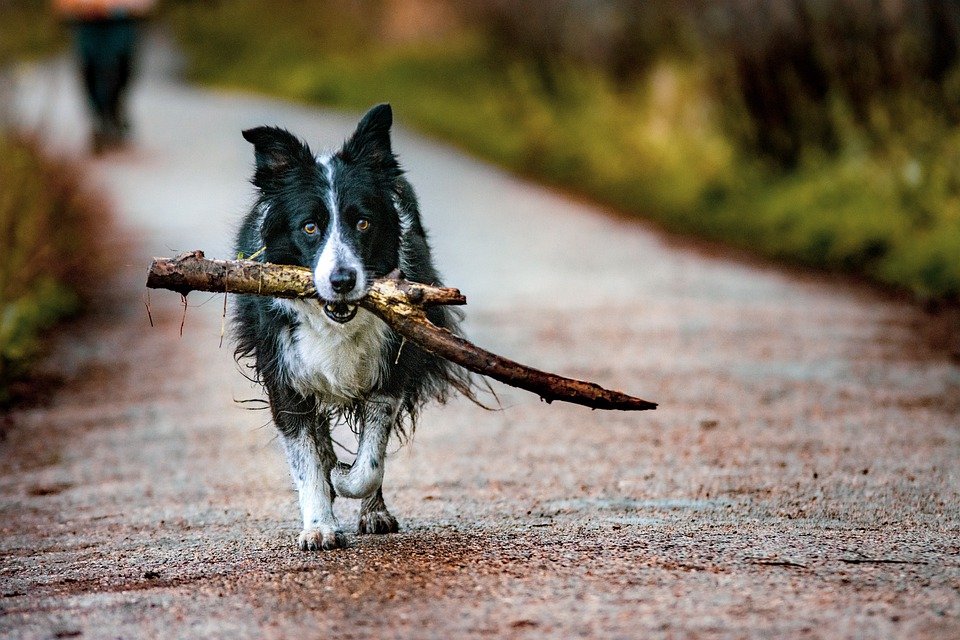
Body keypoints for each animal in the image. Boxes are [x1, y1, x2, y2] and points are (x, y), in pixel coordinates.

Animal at [234, 104, 470, 552]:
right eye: (309, 227)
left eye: (362, 223)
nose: (342, 280)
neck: (336, 321)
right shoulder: (284, 372)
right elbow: (306, 458)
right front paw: (319, 526)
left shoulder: (391, 367)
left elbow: (369, 462)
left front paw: (345, 479)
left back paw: (372, 511)